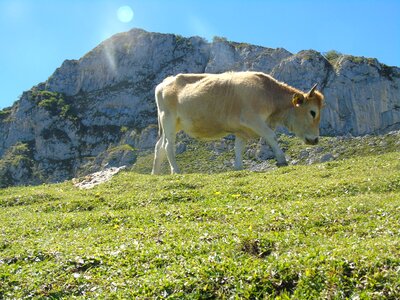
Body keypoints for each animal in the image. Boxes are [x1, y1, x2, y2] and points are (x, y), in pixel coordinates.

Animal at [152, 72, 324, 175]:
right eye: (313, 112)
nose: (315, 139)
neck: (268, 94)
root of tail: (164, 82)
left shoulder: (242, 130)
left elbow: (238, 148)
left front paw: (238, 168)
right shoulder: (253, 120)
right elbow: (271, 136)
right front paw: (282, 160)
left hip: (172, 124)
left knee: (159, 146)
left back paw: (155, 173)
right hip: (168, 119)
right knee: (168, 145)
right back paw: (176, 170)